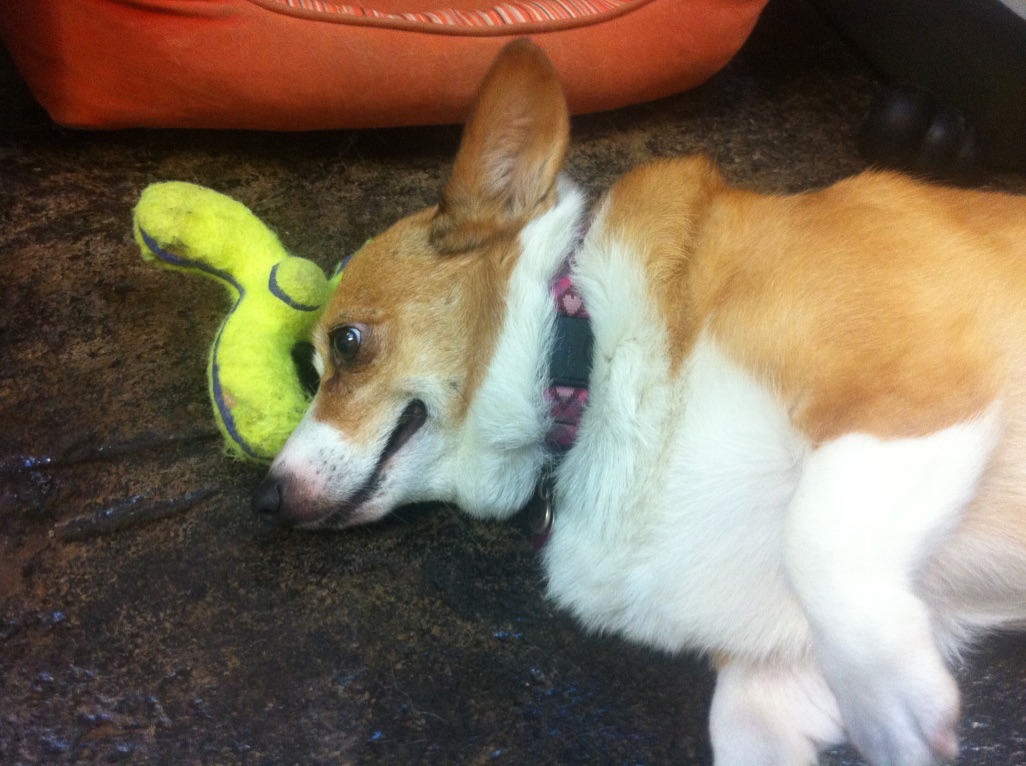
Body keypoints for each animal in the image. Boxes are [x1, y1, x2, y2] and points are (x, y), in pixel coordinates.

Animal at [254, 42, 1026, 766]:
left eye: (347, 343)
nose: (263, 499)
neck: (585, 363)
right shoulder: (772, 672)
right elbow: (739, 726)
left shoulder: (917, 378)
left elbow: (814, 533)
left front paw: (894, 706)